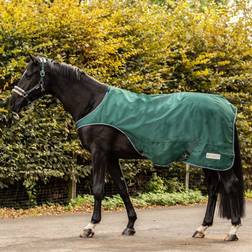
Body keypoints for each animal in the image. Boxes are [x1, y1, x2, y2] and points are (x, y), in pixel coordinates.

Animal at [9, 56, 244, 241]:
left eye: (28, 74)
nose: (12, 103)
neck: (92, 102)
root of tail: (227, 106)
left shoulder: (99, 153)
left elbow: (98, 189)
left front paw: (90, 227)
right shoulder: (112, 157)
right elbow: (122, 188)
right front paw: (130, 225)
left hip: (213, 157)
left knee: (230, 185)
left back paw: (232, 230)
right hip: (205, 159)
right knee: (213, 188)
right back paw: (202, 228)